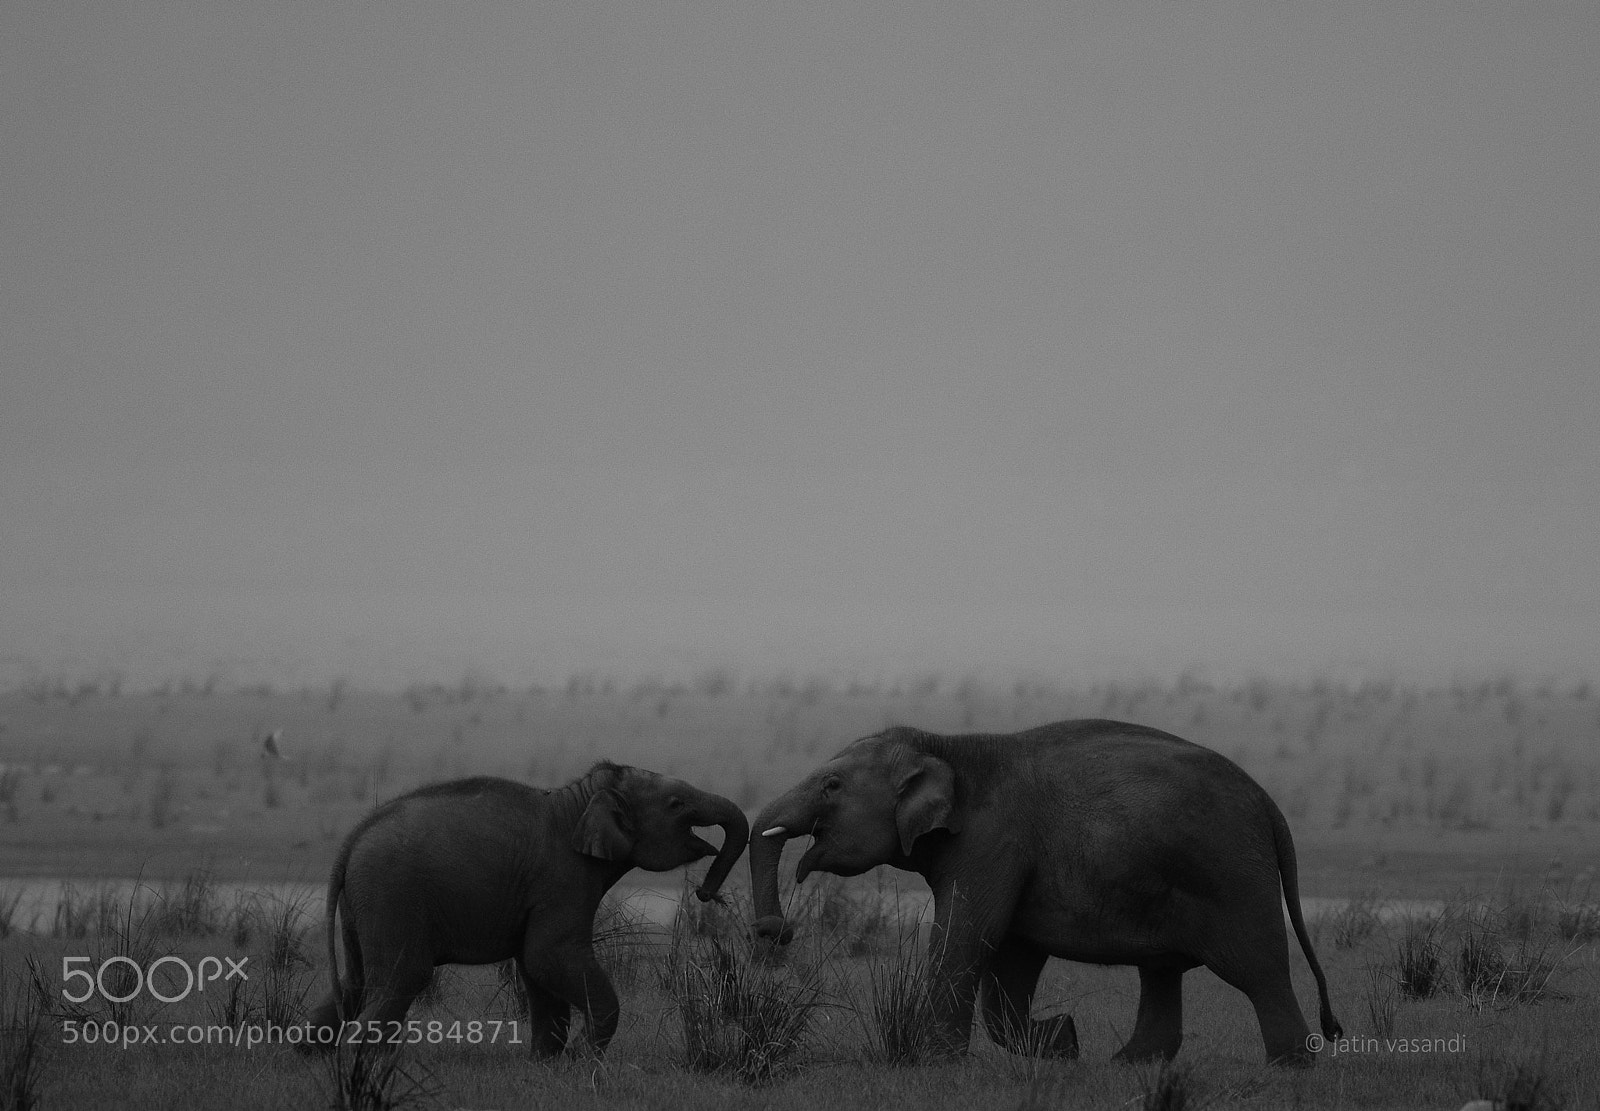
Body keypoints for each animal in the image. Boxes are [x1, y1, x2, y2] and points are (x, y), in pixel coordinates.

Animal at [305, 763, 748, 1057]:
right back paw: (362, 1065)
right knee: (403, 977)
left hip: (365, 902)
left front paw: (547, 1063)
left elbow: (537, 970)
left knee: (356, 979)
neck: (580, 800)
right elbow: (548, 956)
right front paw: (580, 1060)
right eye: (676, 804)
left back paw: (312, 1056)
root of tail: (351, 840)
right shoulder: (563, 878)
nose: (705, 894)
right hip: (392, 894)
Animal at [748, 720, 1343, 1066]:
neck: (947, 747)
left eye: (832, 786)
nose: (778, 930)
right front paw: (1061, 1044)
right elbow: (1011, 953)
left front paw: (937, 1064)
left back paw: (1291, 1067)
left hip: (1230, 873)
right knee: (1162, 971)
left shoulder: (991, 840)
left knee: (1256, 968)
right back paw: (1127, 1063)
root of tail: (1268, 802)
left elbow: (970, 933)